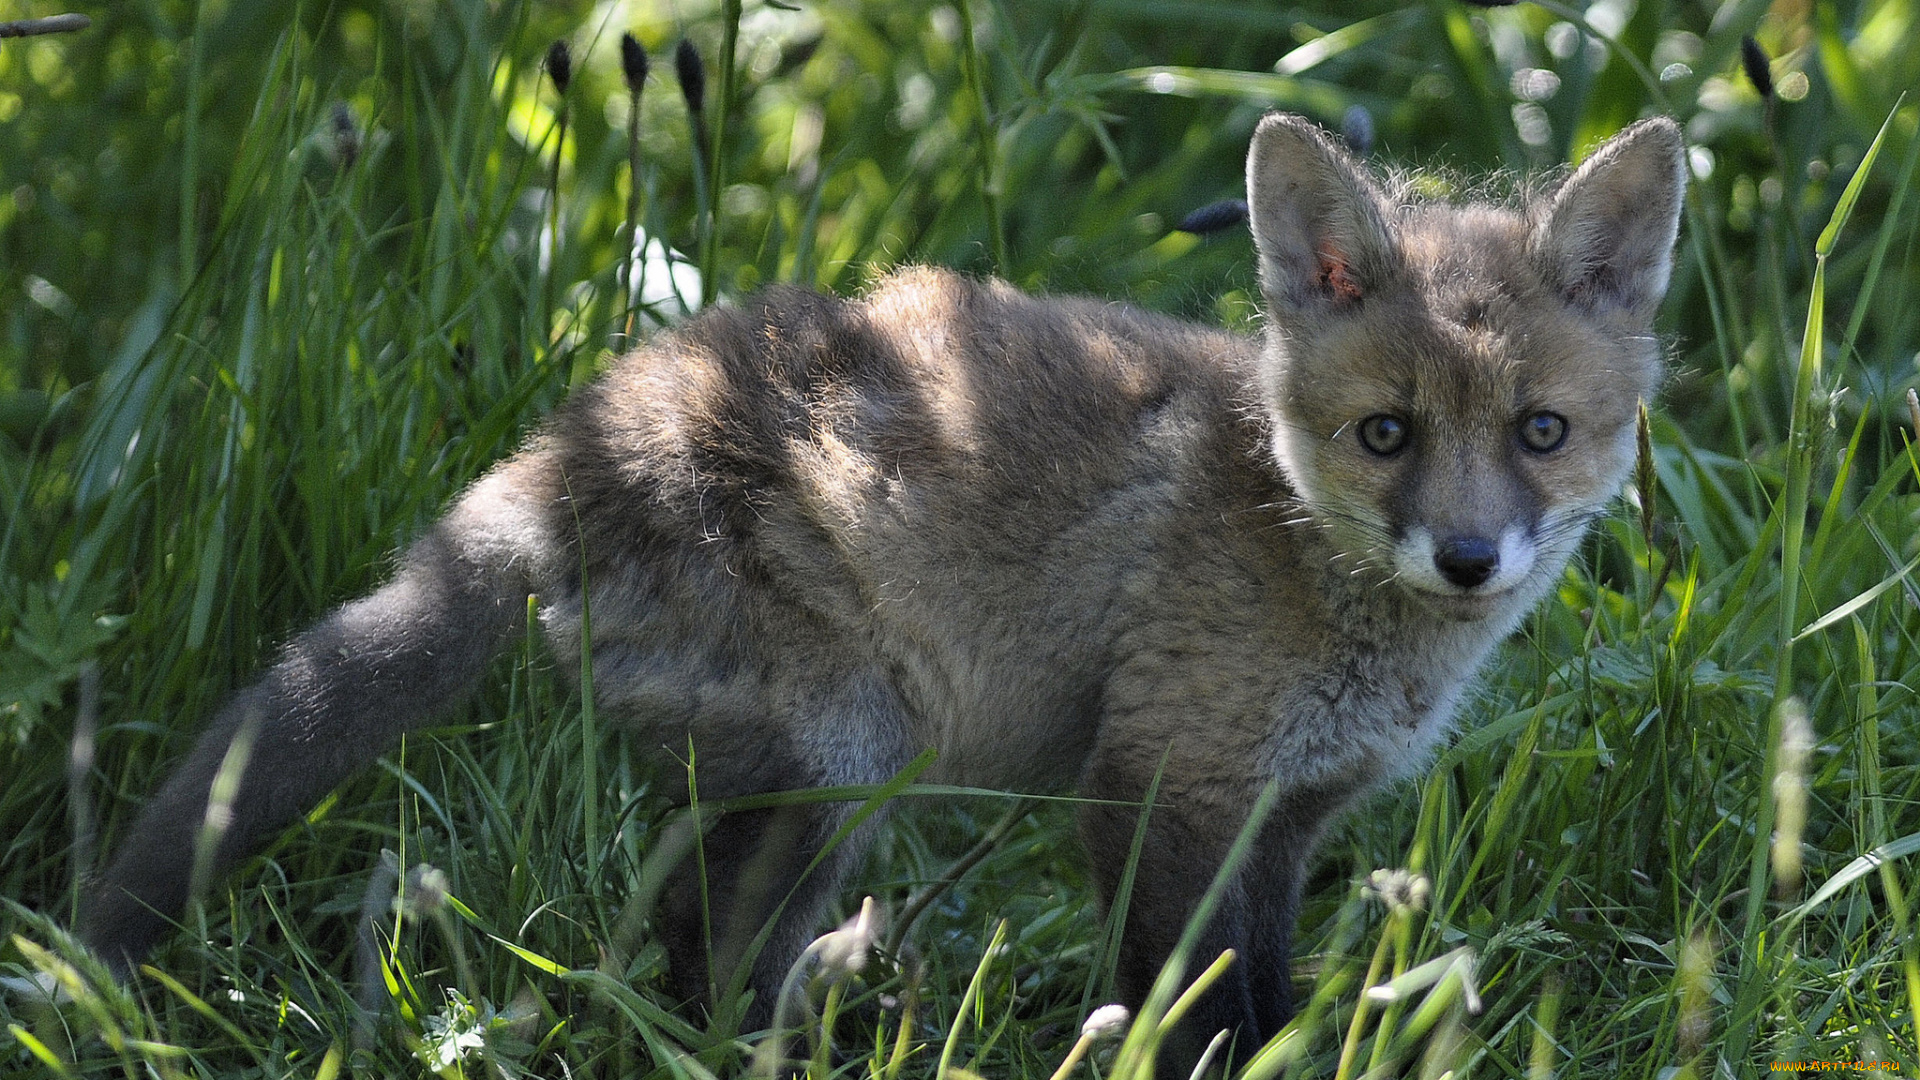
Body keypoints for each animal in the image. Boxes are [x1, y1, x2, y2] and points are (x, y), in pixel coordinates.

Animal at [82, 113, 1689, 1060]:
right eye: (1388, 435)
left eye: (1540, 433)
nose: (1469, 557)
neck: (1291, 534)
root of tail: (568, 451)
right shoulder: (1161, 782)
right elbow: (1189, 1006)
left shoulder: (1285, 821)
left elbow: (1265, 994)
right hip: (853, 755)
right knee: (706, 962)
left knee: (688, 939)